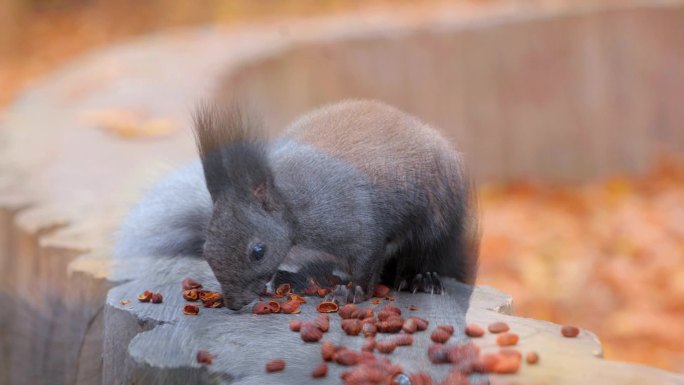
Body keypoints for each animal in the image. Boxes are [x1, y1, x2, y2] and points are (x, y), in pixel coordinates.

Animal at [115, 99, 478, 308]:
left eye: (258, 251)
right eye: (205, 250)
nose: (235, 304)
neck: (293, 210)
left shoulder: (354, 224)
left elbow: (366, 261)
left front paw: (351, 293)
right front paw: (279, 282)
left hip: (437, 220)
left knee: (426, 252)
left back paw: (421, 278)